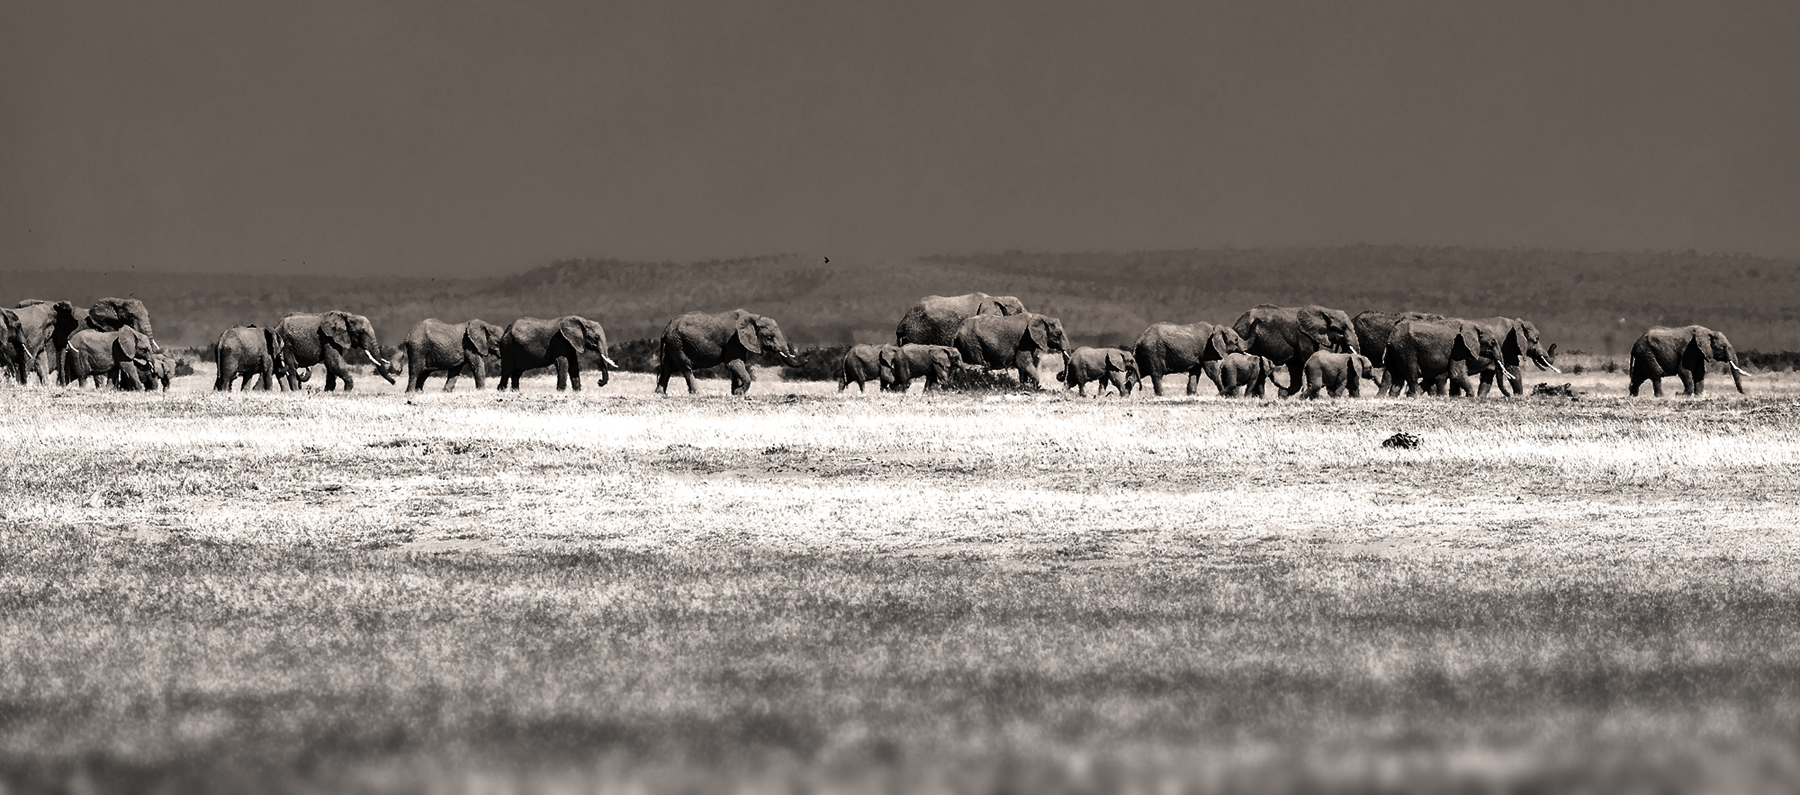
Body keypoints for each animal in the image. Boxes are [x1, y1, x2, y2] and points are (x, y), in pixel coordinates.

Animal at [658, 311, 799, 397]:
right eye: (770, 337)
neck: (752, 317)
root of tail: (665, 328)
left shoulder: (738, 342)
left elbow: (736, 365)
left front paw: (735, 393)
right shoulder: (734, 339)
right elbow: (734, 363)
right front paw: (740, 392)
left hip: (673, 343)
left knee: (667, 367)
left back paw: (660, 394)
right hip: (678, 343)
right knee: (686, 367)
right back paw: (697, 393)